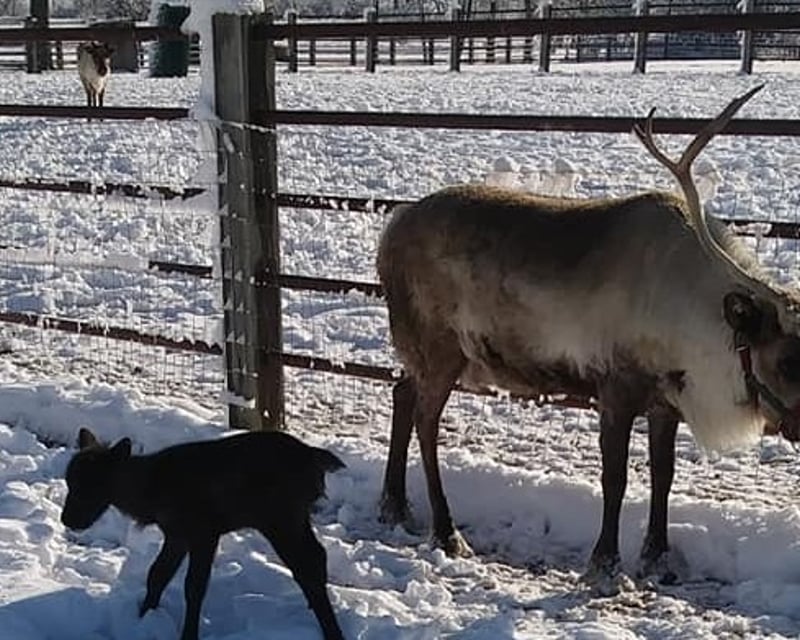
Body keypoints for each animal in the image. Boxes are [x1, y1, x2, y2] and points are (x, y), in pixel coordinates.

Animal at [61, 428, 347, 640]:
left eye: (92, 485)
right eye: (69, 481)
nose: (68, 519)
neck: (151, 491)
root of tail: (315, 459)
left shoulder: (204, 530)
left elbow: (194, 586)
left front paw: (188, 635)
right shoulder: (176, 534)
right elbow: (157, 575)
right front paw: (142, 618)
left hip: (280, 517)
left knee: (307, 564)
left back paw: (331, 631)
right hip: (291, 517)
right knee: (316, 556)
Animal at [377, 85, 800, 585]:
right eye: (787, 359)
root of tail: (390, 232)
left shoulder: (666, 400)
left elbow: (664, 475)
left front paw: (658, 558)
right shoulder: (615, 387)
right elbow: (615, 477)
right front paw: (604, 563)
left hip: (423, 353)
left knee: (401, 394)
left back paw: (395, 506)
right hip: (439, 347)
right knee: (425, 420)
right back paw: (446, 532)